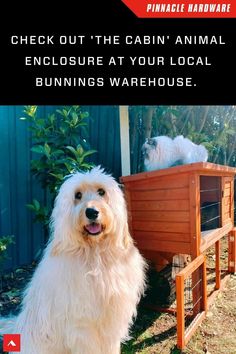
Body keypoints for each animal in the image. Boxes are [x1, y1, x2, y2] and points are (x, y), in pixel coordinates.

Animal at [0, 167, 147, 354]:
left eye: (101, 192)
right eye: (78, 195)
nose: (92, 212)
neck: (94, 256)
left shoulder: (112, 319)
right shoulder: (81, 324)